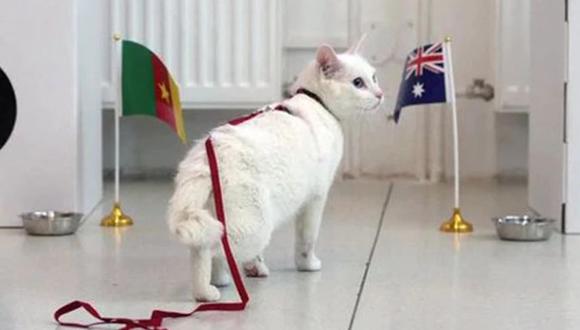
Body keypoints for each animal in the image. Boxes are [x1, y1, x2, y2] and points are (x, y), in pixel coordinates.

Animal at [168, 41, 382, 302]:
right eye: (358, 83)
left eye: (374, 77)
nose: (380, 94)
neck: (317, 103)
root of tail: (204, 157)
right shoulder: (315, 198)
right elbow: (307, 239)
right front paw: (307, 265)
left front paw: (255, 266)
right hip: (253, 225)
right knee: (208, 249)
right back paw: (207, 290)